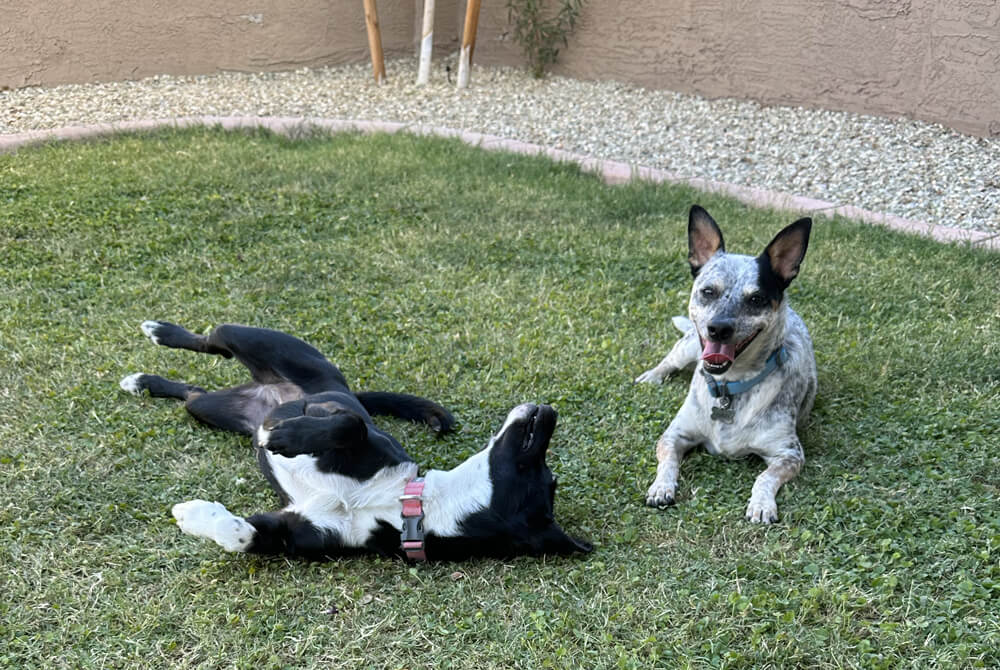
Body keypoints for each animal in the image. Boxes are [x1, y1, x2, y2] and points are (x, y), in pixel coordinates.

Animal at [120, 320, 588, 560]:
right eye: (543, 464)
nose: (550, 411)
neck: (403, 508)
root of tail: (262, 393)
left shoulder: (291, 531)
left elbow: (244, 536)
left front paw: (195, 516)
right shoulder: (354, 428)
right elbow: (349, 424)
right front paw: (290, 433)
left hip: (211, 408)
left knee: (194, 390)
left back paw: (146, 380)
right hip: (258, 341)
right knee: (211, 340)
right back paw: (158, 336)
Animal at [636, 205, 816, 524]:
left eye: (756, 299)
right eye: (708, 291)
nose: (718, 328)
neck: (729, 385)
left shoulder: (789, 453)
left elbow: (765, 477)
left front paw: (762, 504)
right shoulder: (674, 435)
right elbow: (667, 461)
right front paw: (661, 487)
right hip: (688, 347)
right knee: (670, 359)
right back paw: (653, 376)